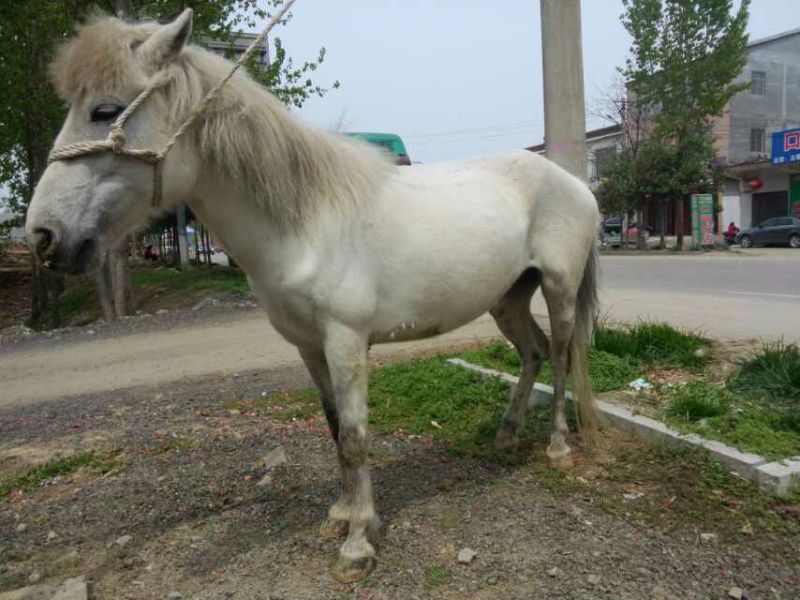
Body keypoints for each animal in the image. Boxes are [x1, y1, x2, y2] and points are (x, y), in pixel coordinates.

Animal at [26, 9, 601, 583]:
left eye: (105, 110)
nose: (44, 236)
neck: (307, 220)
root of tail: (576, 183)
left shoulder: (346, 342)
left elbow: (354, 436)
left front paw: (357, 545)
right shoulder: (307, 346)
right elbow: (332, 428)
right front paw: (341, 515)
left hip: (558, 289)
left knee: (560, 355)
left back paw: (556, 447)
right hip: (507, 299)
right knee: (532, 352)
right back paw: (506, 436)